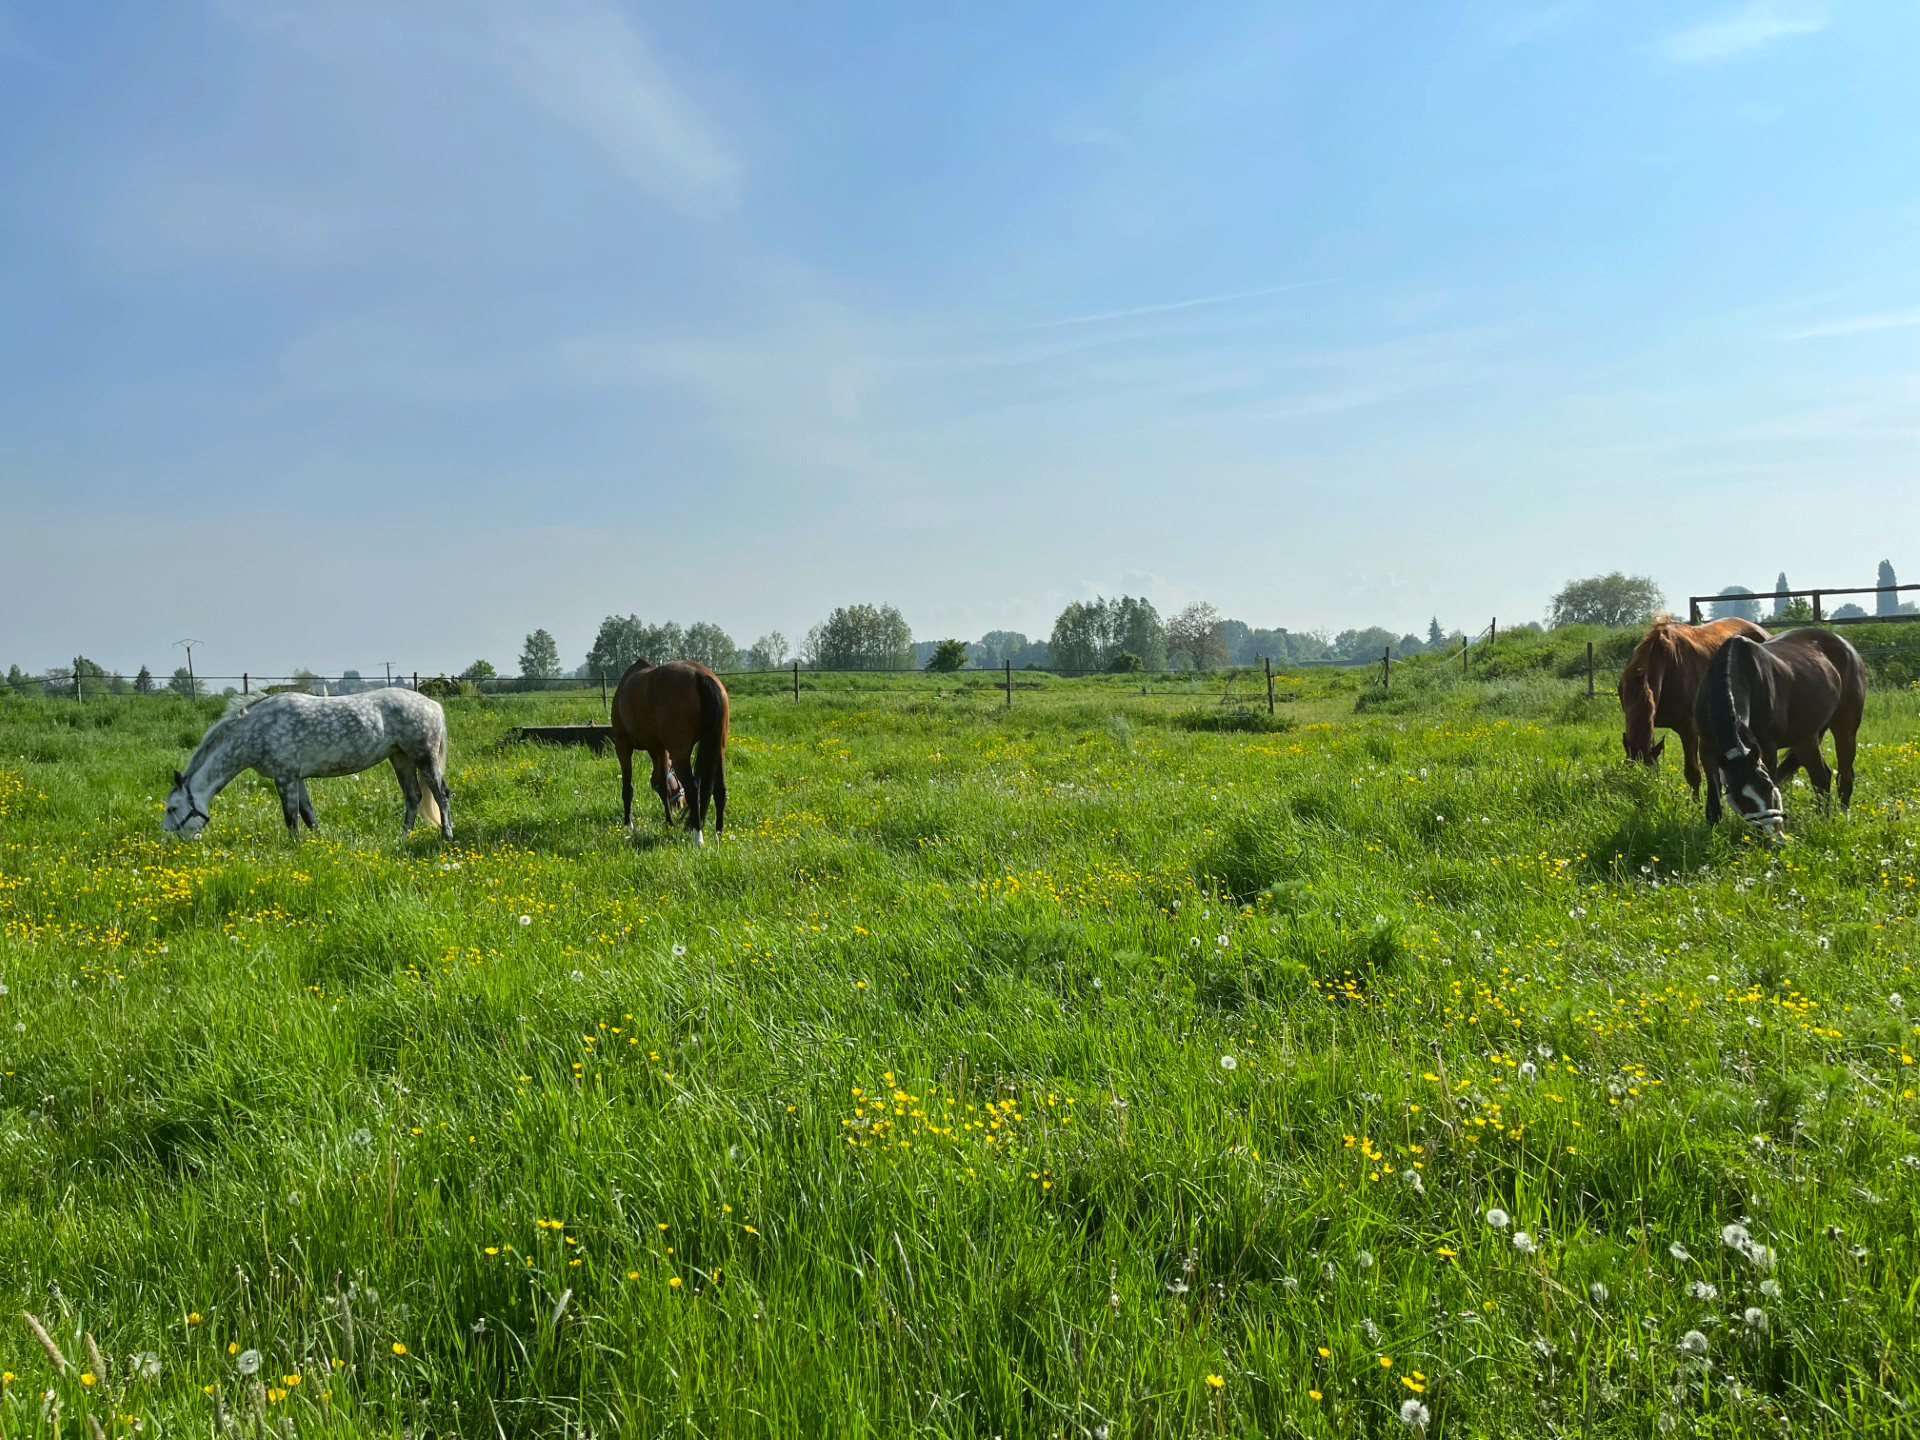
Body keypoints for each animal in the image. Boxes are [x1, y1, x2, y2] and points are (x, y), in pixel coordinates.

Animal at [163, 689, 454, 839]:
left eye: (172, 808)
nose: (168, 839)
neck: (257, 730)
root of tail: (433, 704)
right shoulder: (296, 778)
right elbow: (308, 814)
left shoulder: (284, 778)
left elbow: (291, 817)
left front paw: (295, 848)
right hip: (401, 758)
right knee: (413, 797)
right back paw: (403, 836)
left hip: (424, 758)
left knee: (441, 795)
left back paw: (446, 835)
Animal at [610, 659, 728, 843]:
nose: (679, 805)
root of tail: (700, 676)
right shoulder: (660, 749)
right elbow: (663, 786)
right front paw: (669, 823)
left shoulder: (623, 746)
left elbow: (628, 789)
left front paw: (628, 825)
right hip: (718, 748)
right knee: (719, 790)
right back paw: (719, 834)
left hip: (680, 753)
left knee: (693, 790)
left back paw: (698, 838)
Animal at [1693, 627, 1866, 836]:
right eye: (1741, 798)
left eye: (1768, 787)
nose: (1769, 829)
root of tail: (1847, 646)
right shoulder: (1707, 748)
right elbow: (1713, 795)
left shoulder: (1767, 747)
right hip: (1805, 739)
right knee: (1821, 777)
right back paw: (1822, 820)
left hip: (1845, 728)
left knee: (1845, 776)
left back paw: (1842, 818)